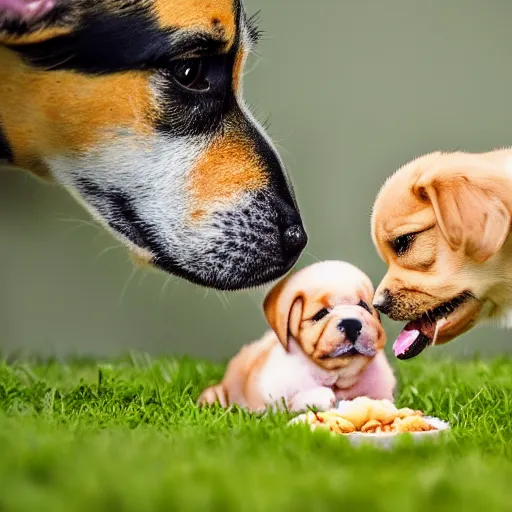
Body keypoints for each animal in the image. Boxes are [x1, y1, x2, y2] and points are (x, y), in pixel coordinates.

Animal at [197, 262, 396, 414]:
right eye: (320, 314)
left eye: (364, 306)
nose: (351, 323)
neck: (336, 377)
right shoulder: (272, 399)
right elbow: (292, 402)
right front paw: (321, 397)